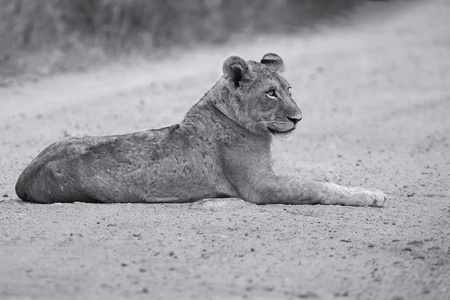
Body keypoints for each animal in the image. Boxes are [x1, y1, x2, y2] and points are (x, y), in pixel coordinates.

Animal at [14, 53, 386, 206]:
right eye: (271, 93)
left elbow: (318, 179)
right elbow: (316, 186)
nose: (298, 118)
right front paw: (370, 195)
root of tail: (22, 180)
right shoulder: (259, 187)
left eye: (288, 89)